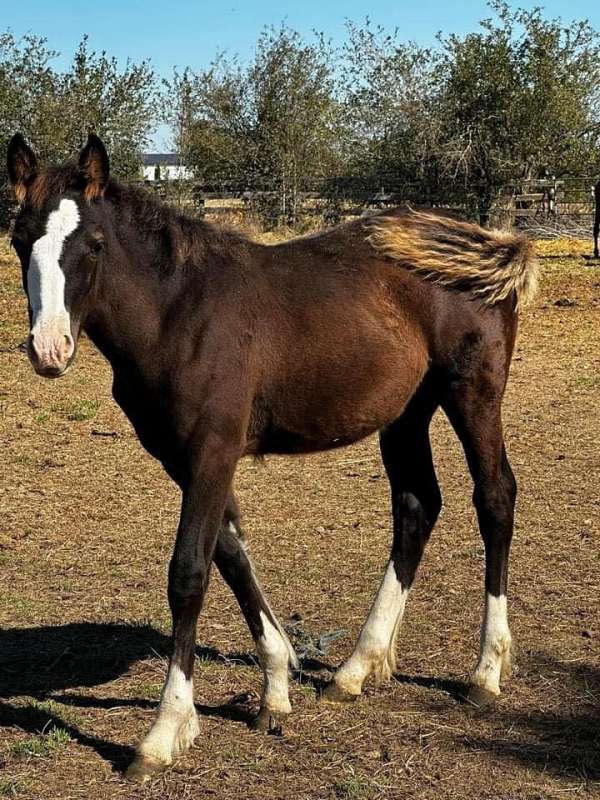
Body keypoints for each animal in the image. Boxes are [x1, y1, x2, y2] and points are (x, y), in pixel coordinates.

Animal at [5, 133, 540, 780]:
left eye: (95, 244)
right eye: (19, 241)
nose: (49, 349)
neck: (179, 312)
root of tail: (484, 241)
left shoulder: (213, 450)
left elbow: (189, 573)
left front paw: (163, 733)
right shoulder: (182, 457)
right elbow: (232, 556)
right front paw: (277, 687)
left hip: (473, 392)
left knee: (495, 499)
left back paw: (485, 671)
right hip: (406, 412)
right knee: (417, 506)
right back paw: (356, 669)